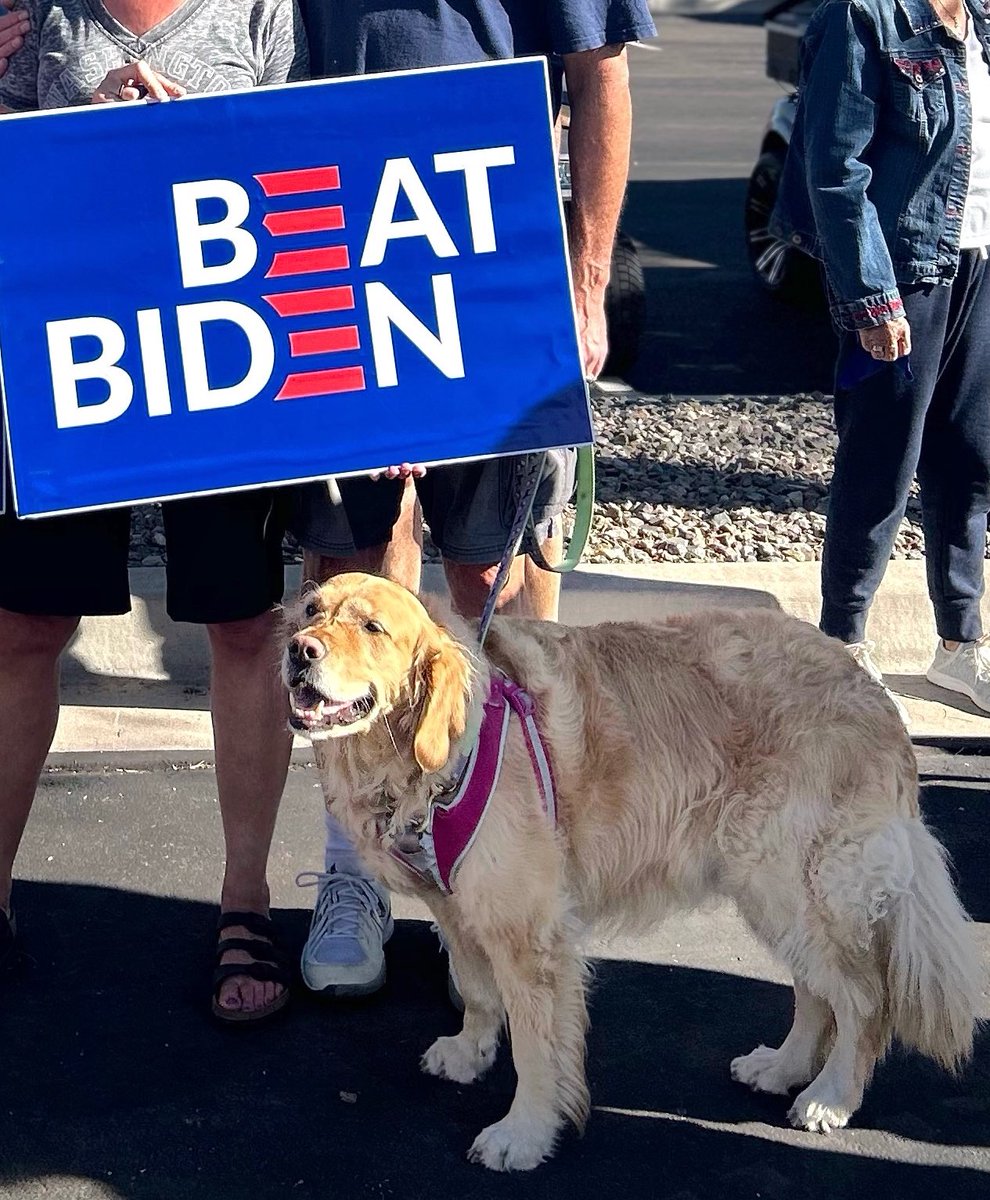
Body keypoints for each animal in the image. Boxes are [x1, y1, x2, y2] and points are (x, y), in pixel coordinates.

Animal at [278, 571, 979, 1171]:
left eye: (372, 627)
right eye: (311, 610)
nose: (298, 650)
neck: (430, 755)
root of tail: (873, 690)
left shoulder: (530, 936)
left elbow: (537, 1051)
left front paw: (523, 1134)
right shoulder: (459, 907)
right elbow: (476, 990)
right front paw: (470, 1050)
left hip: (795, 882)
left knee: (862, 999)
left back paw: (830, 1096)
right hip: (776, 893)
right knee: (817, 990)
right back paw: (783, 1066)